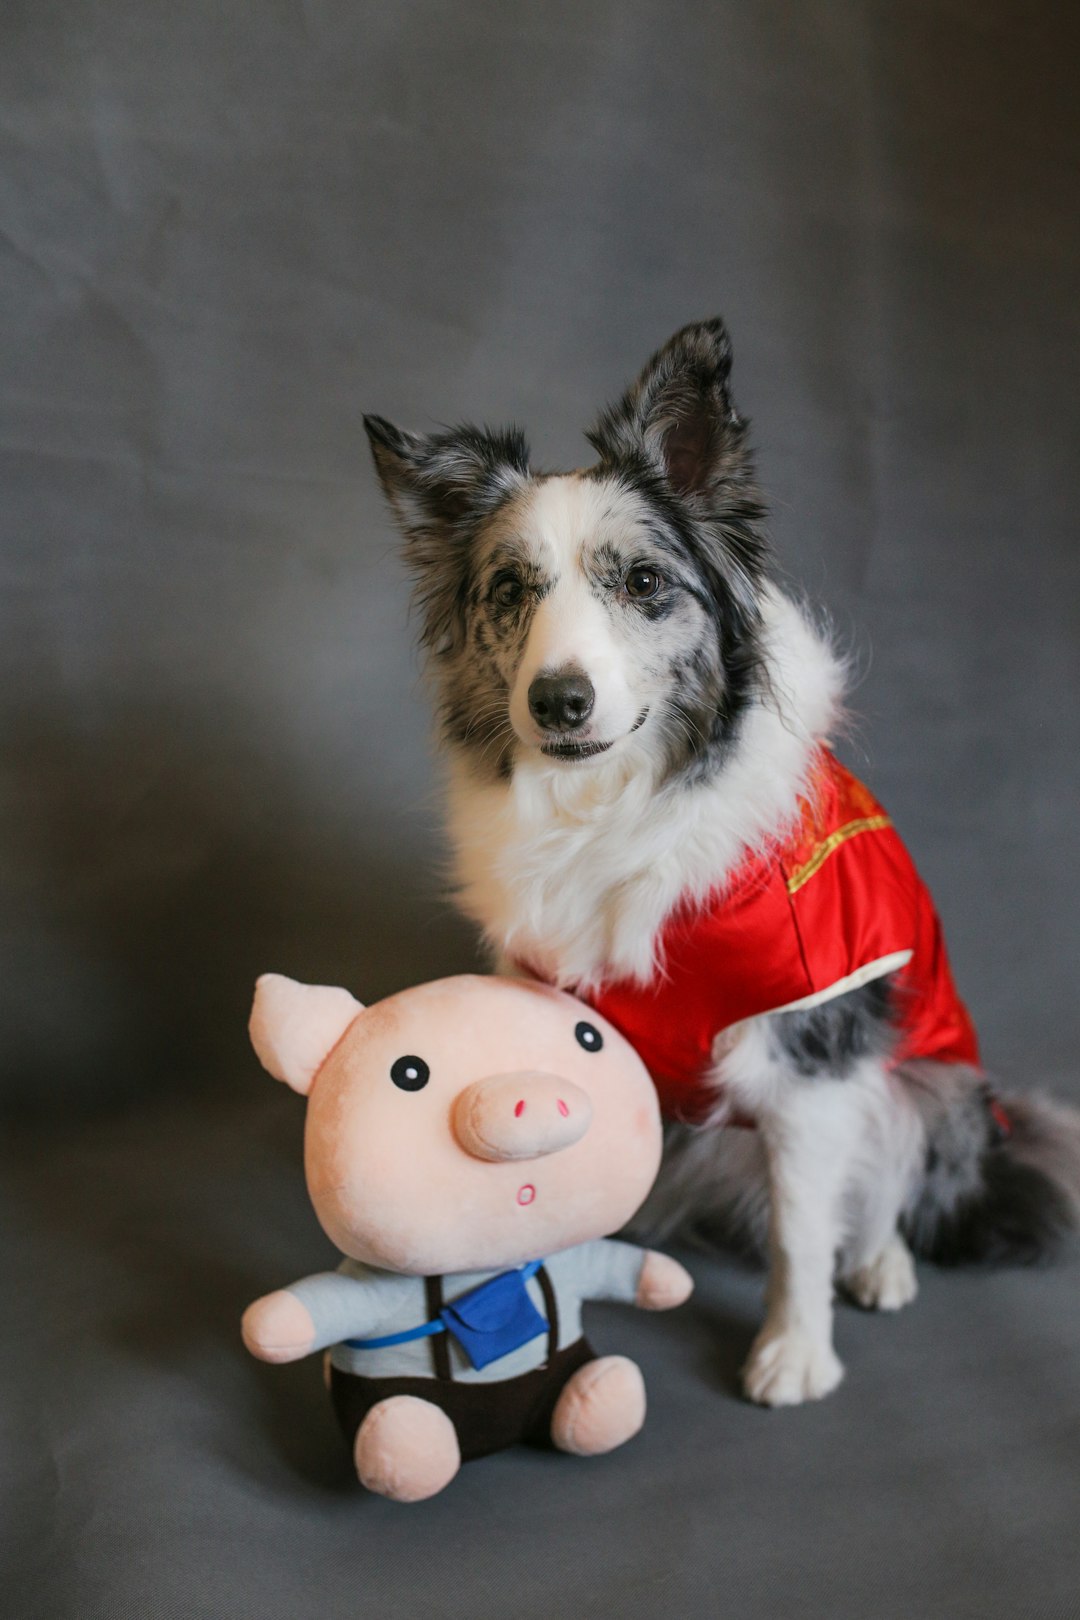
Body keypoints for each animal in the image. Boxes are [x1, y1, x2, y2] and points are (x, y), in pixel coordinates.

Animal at [365, 319, 1080, 1406]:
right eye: (510, 591)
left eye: (643, 582)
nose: (557, 702)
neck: (613, 806)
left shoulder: (814, 1047)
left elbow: (800, 1229)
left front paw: (794, 1351)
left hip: (939, 1079)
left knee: (887, 1177)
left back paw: (880, 1261)